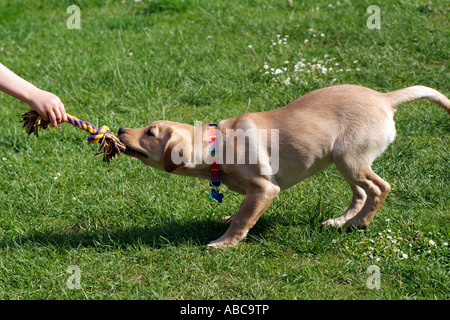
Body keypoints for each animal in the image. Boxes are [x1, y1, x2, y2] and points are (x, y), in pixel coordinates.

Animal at [118, 85, 448, 250]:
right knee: (361, 194)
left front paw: (224, 243)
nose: (120, 129)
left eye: (150, 132)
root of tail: (384, 98)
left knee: (380, 188)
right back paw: (341, 222)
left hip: (350, 159)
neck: (217, 144)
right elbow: (242, 212)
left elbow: (244, 218)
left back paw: (360, 224)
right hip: (344, 160)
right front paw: (228, 222)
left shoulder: (265, 188)